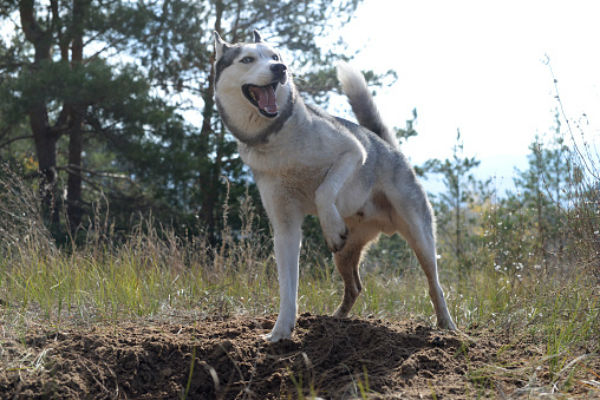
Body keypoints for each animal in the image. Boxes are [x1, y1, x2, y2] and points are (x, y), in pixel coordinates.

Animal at [214, 30, 454, 340]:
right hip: (343, 255)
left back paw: (448, 327)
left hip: (420, 238)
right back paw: (335, 319)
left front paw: (330, 224)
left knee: (435, 286)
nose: (281, 69)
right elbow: (288, 289)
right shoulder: (285, 228)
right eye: (247, 59)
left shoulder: (352, 152)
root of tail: (388, 146)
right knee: (355, 287)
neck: (278, 139)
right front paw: (280, 332)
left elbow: (323, 191)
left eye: (275, 56)